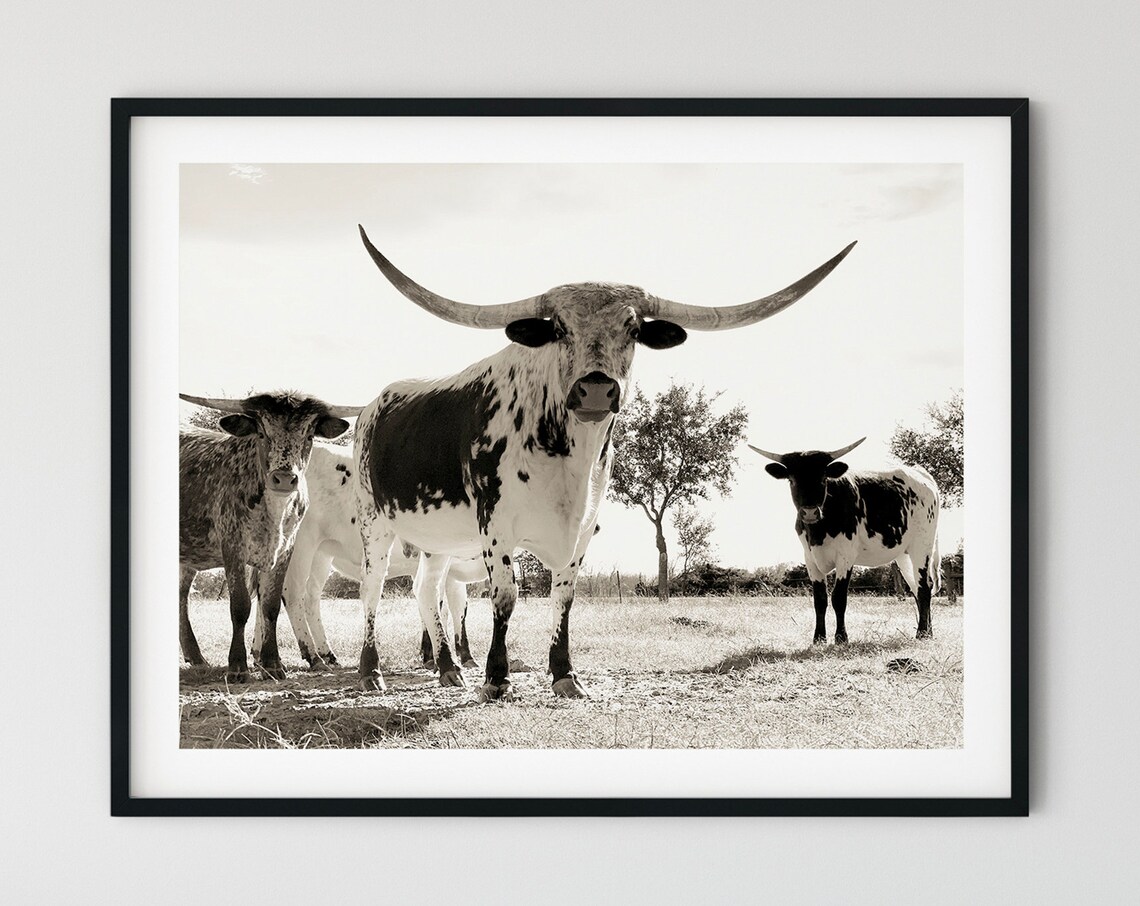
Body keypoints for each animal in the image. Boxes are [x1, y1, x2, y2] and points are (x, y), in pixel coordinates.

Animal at [179, 391, 359, 681]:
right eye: (262, 433)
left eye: (309, 435)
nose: (284, 479)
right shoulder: (233, 546)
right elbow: (240, 606)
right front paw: (237, 666)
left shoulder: (285, 550)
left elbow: (271, 605)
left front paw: (273, 663)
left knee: (181, 593)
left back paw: (195, 656)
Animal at [351, 225, 856, 699]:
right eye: (558, 328)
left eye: (633, 330)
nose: (595, 388)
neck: (567, 455)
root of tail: (372, 406)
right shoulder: (495, 525)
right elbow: (506, 596)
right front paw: (497, 679)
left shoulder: (584, 526)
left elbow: (565, 597)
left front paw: (564, 674)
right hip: (374, 523)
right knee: (372, 589)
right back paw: (371, 670)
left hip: (437, 539)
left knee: (426, 592)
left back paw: (448, 669)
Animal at [750, 437, 941, 644]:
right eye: (792, 480)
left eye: (823, 479)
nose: (810, 512)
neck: (819, 531)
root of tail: (921, 474)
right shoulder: (810, 558)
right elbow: (820, 599)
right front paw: (819, 638)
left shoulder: (845, 556)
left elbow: (838, 597)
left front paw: (841, 637)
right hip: (903, 554)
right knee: (916, 587)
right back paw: (928, 631)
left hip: (922, 546)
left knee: (924, 587)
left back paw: (922, 633)